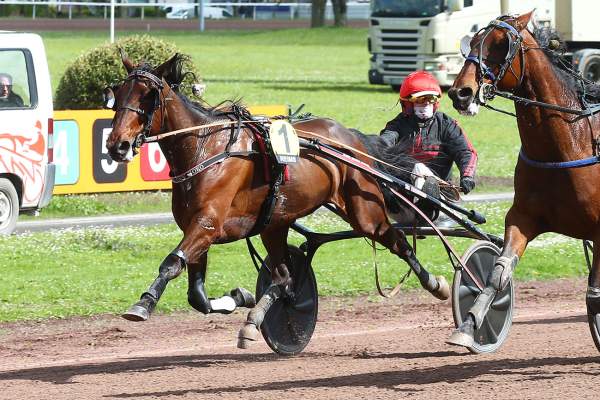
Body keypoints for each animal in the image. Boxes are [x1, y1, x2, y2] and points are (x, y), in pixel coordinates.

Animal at [106, 51, 450, 346]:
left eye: (148, 96)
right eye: (117, 95)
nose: (116, 146)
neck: (206, 149)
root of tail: (351, 137)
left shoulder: (206, 225)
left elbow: (170, 264)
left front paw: (143, 304)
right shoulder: (197, 228)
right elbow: (197, 294)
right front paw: (239, 298)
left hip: (365, 212)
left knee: (399, 242)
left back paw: (437, 284)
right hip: (274, 223)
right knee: (284, 279)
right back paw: (254, 320)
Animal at [446, 10, 600, 352]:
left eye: (501, 44)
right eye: (472, 43)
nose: (460, 92)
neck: (570, 143)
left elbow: (595, 295)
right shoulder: (523, 218)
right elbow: (498, 274)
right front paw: (469, 325)